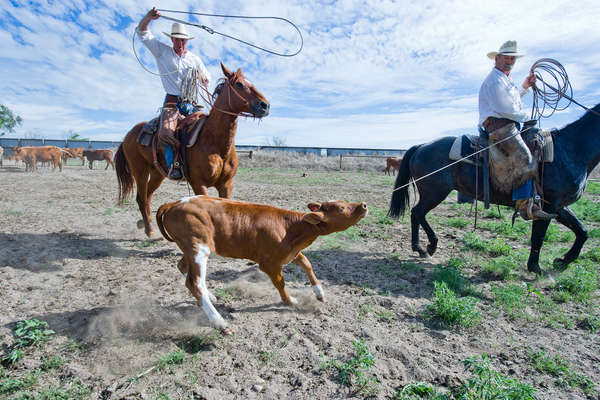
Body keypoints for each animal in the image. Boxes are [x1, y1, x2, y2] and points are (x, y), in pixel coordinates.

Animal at [115, 63, 270, 238]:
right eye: (239, 84)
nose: (265, 105)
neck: (216, 144)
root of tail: (128, 136)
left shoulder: (226, 184)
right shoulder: (199, 184)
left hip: (157, 173)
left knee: (147, 196)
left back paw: (146, 224)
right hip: (139, 170)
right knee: (141, 197)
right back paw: (150, 231)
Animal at [157, 197, 368, 334]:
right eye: (341, 208)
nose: (363, 205)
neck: (290, 227)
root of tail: (173, 204)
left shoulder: (290, 253)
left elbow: (307, 264)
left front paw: (319, 293)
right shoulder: (269, 263)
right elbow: (280, 283)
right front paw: (290, 301)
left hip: (191, 249)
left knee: (184, 269)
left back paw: (211, 297)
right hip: (198, 248)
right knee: (195, 282)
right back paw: (219, 322)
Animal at [390, 103, 600, 274]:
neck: (571, 149)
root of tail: (421, 146)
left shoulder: (558, 206)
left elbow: (582, 231)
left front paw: (563, 261)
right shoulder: (548, 206)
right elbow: (538, 237)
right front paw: (535, 267)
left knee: (416, 214)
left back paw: (420, 248)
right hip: (434, 193)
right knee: (418, 212)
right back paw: (429, 246)